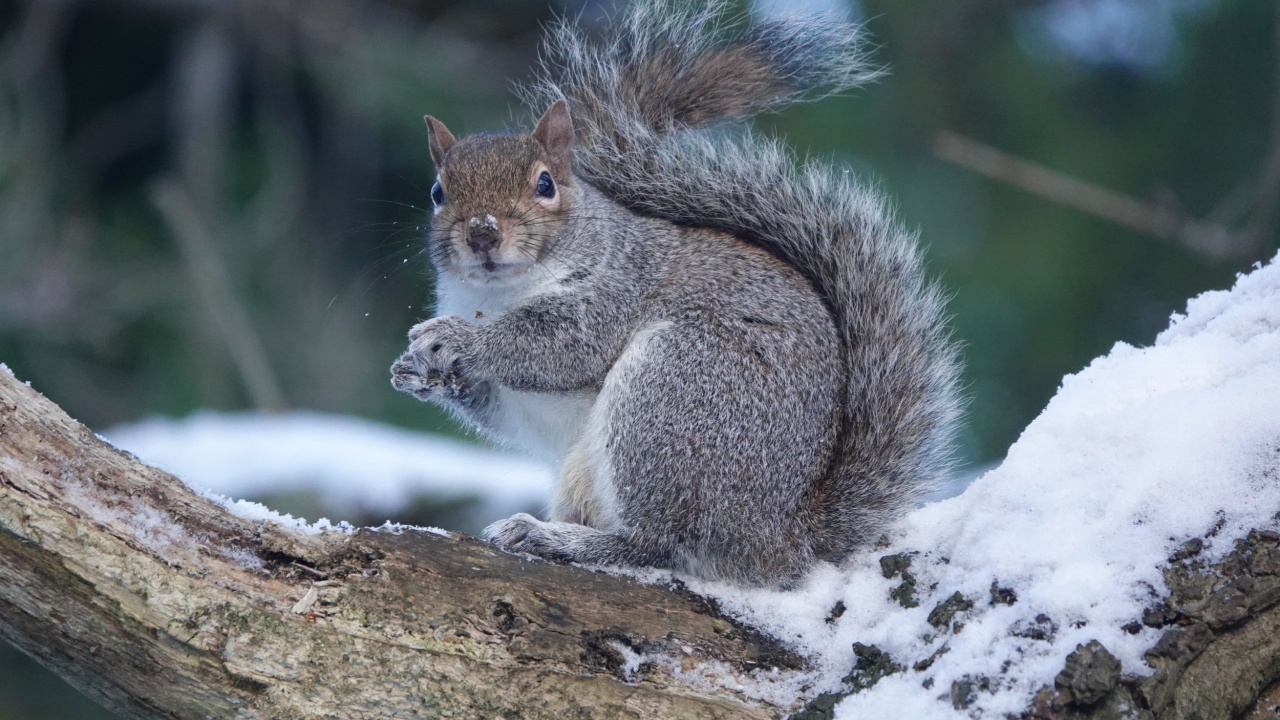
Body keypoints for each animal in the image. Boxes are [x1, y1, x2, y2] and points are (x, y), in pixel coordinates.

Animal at [390, 0, 962, 587]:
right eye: (437, 192)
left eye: (545, 184)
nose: (482, 234)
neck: (496, 297)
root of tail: (782, 538)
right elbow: (508, 411)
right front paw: (415, 372)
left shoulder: (618, 288)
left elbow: (559, 345)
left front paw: (455, 339)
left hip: (674, 392)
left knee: (658, 545)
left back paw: (559, 539)